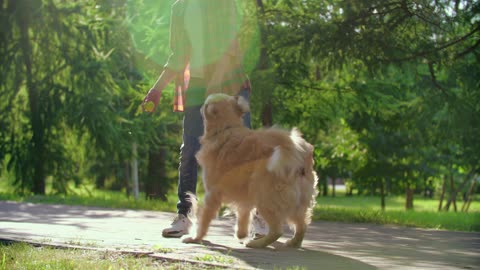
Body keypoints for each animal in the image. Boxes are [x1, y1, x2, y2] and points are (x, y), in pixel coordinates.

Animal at [184, 93, 318, 249]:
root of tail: (297, 154)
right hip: (297, 202)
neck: (226, 128)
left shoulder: (212, 194)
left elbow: (203, 219)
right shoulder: (244, 198)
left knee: (277, 230)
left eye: (206, 104)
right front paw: (241, 234)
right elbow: (243, 216)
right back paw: (293, 242)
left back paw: (256, 243)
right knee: (302, 225)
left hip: (265, 198)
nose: (200, 106)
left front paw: (195, 238)